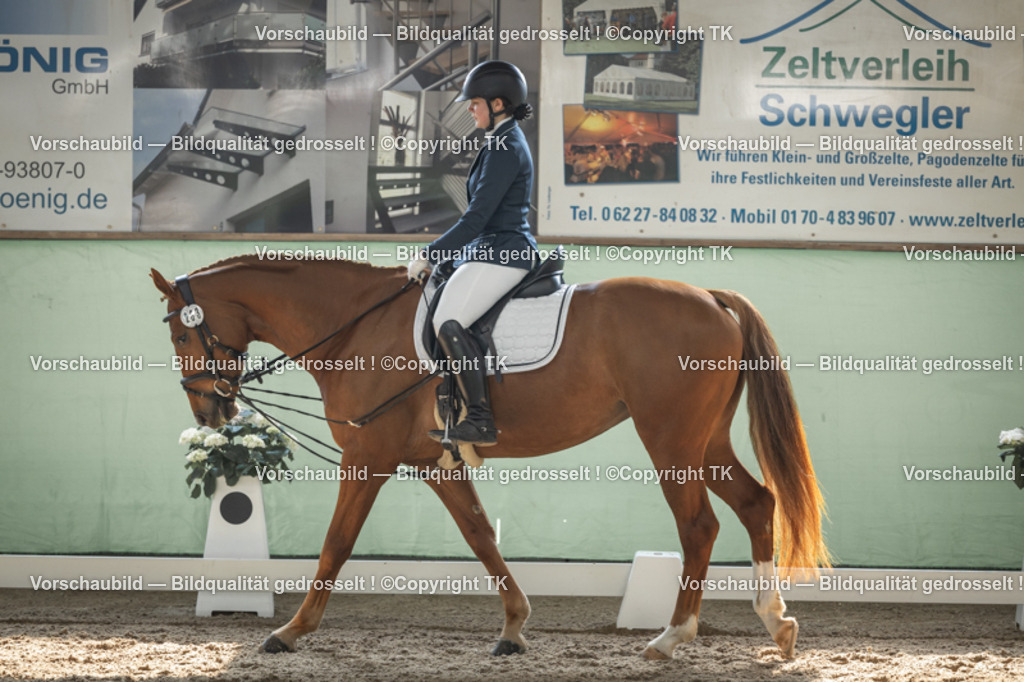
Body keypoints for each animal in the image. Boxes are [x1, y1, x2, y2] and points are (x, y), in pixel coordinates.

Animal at [151, 254, 829, 660]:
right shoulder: (436, 465)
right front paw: (513, 627)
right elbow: (480, 535)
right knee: (756, 503)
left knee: (699, 525)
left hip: (671, 441)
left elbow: (336, 544)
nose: (207, 413)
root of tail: (713, 298)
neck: (351, 329)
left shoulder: (367, 457)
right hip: (705, 440)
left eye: (181, 332)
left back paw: (670, 637)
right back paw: (776, 623)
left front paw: (290, 631)